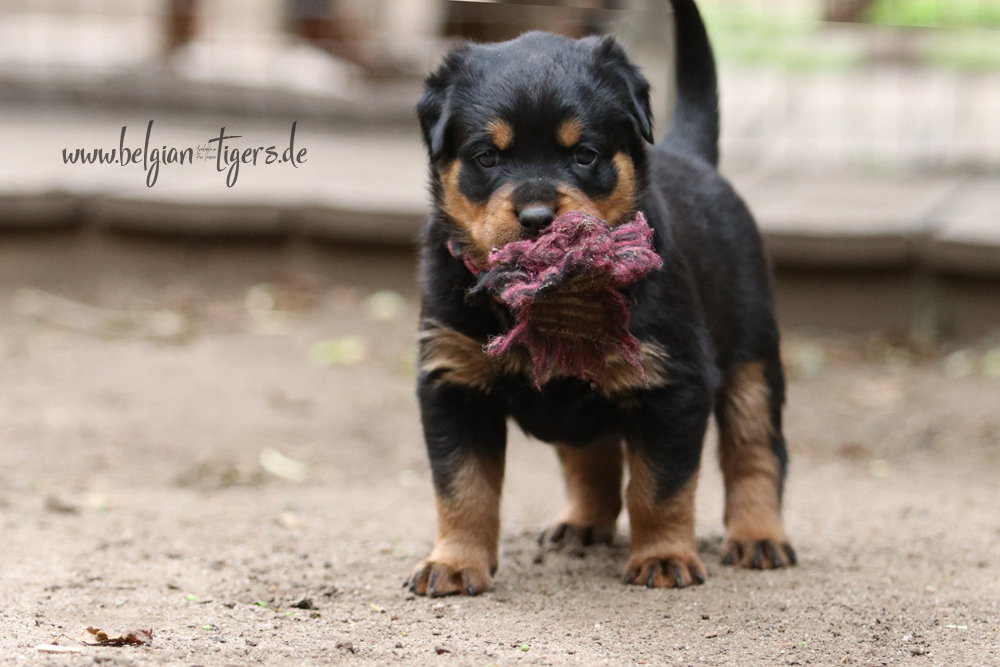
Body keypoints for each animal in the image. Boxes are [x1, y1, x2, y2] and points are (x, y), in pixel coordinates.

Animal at [407, 0, 795, 597]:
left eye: (585, 155)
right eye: (487, 157)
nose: (537, 217)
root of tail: (694, 158)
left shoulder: (674, 382)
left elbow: (660, 486)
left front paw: (663, 556)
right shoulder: (452, 380)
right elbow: (462, 486)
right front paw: (453, 562)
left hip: (752, 354)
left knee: (756, 449)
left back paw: (759, 536)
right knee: (593, 455)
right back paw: (581, 524)